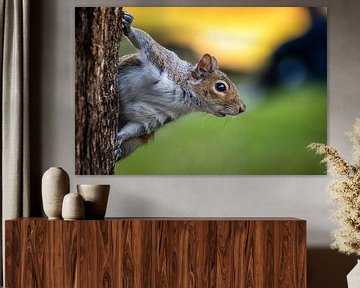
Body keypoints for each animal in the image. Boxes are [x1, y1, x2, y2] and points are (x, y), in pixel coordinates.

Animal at [114, 11, 245, 161]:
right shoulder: (163, 60)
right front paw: (129, 25)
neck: (184, 97)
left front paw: (118, 138)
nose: (242, 108)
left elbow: (137, 127)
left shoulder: (155, 116)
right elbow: (147, 42)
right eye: (221, 87)